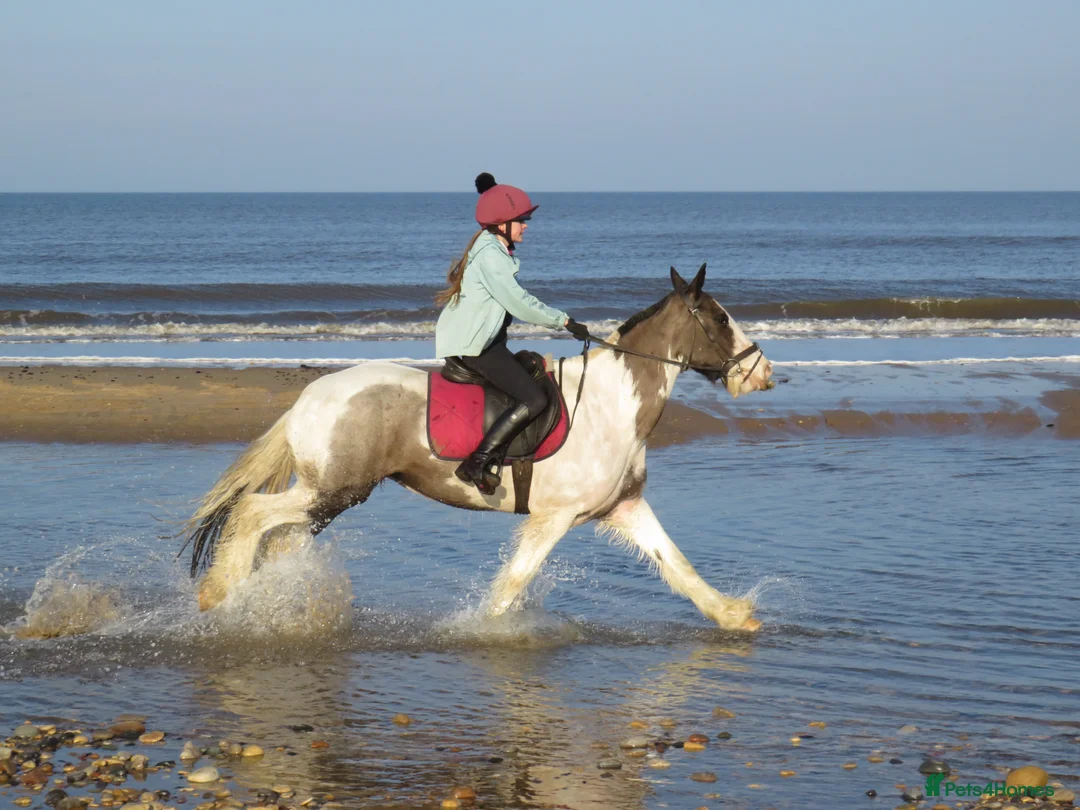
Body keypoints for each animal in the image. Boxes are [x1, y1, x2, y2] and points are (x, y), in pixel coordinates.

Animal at [183, 265, 774, 632]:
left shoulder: (624, 507)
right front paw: (483, 632)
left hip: (330, 498)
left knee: (278, 539)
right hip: (334, 489)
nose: (762, 372)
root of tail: (308, 397)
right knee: (253, 512)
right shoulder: (554, 518)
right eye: (721, 318)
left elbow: (677, 565)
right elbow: (512, 584)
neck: (611, 403)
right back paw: (219, 593)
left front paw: (733, 616)